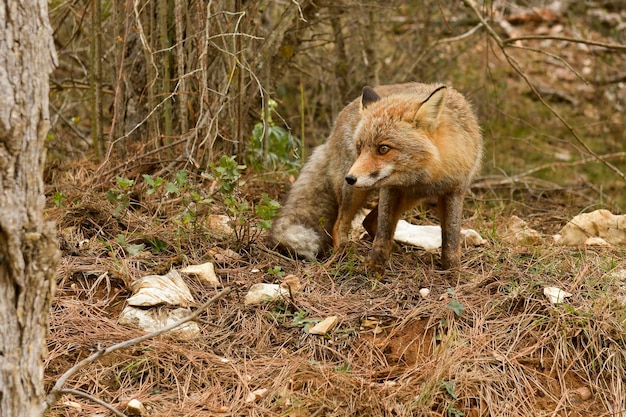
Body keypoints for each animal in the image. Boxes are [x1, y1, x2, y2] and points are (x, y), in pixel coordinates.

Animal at [270, 83, 482, 272]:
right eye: (360, 147)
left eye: (383, 148)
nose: (350, 178)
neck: (429, 173)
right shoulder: (391, 189)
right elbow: (383, 233)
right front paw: (374, 268)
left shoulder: (454, 190)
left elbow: (451, 237)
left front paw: (453, 270)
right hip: (356, 194)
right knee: (340, 225)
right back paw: (344, 253)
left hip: (411, 198)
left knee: (368, 221)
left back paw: (395, 249)